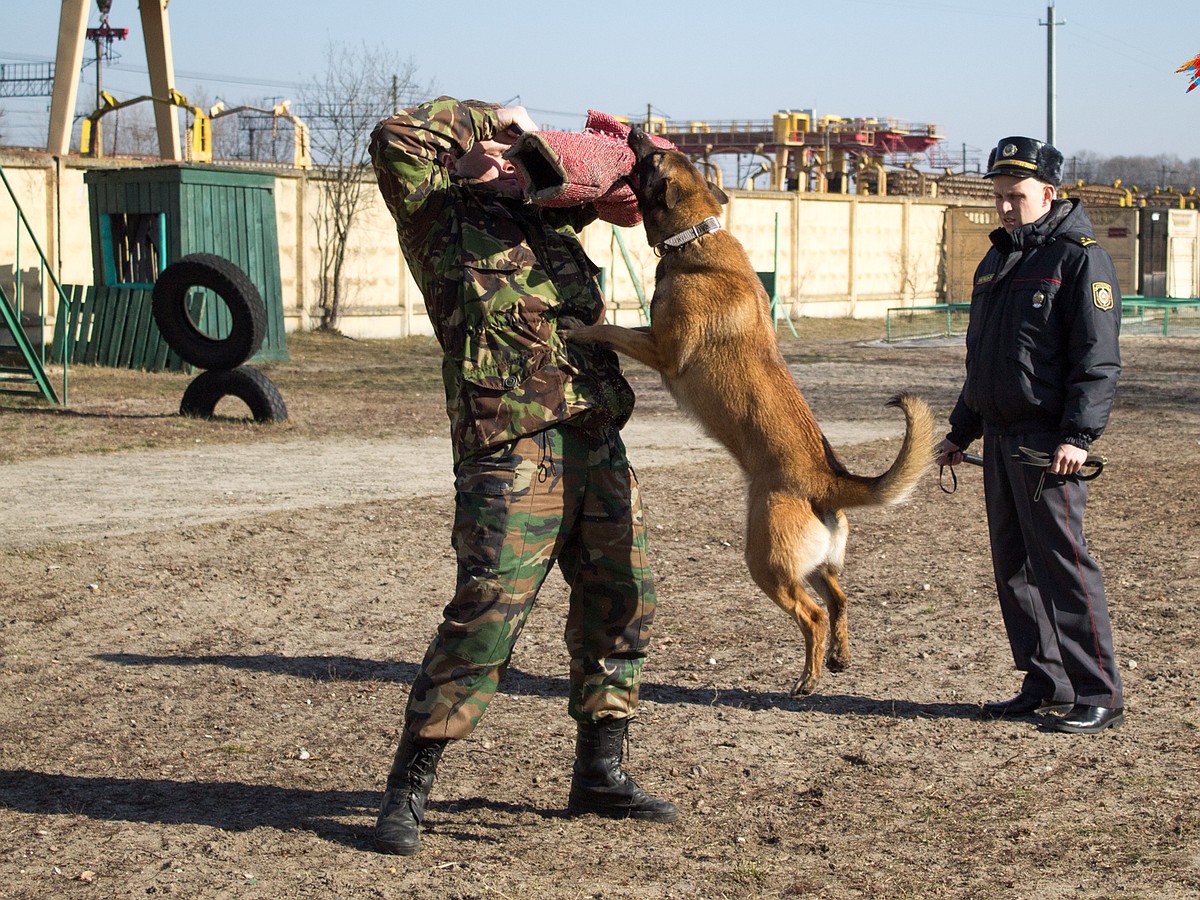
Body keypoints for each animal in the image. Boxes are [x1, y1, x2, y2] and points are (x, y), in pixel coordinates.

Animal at [564, 125, 936, 696]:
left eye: (652, 158)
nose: (636, 131)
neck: (696, 239)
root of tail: (826, 480)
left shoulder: (663, 350)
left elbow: (611, 327)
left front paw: (578, 329)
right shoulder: (654, 336)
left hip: (767, 563)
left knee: (813, 615)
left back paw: (807, 678)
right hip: (814, 565)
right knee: (841, 599)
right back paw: (839, 658)